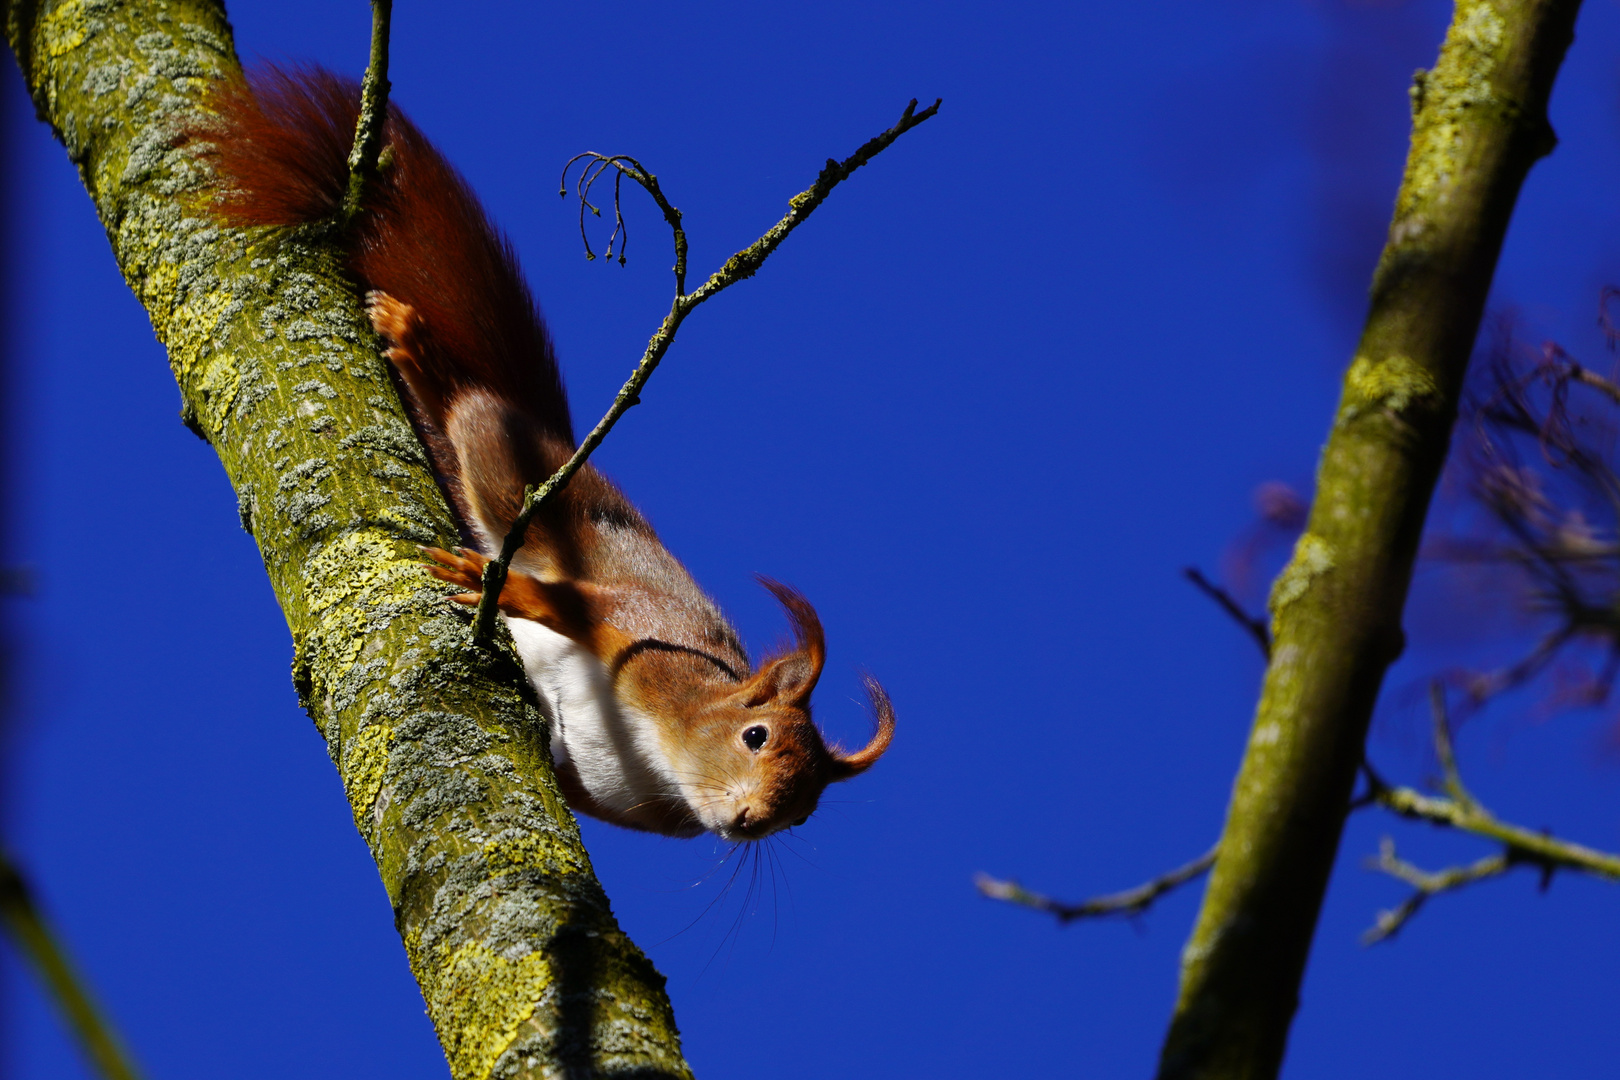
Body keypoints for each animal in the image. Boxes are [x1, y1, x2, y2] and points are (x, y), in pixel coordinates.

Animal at [194, 69, 894, 841]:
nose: (748, 821)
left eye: (800, 816)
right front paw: (506, 588)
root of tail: (561, 446)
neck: (663, 750)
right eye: (756, 735)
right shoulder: (647, 635)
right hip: (512, 470)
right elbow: (575, 603)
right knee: (471, 425)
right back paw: (421, 355)